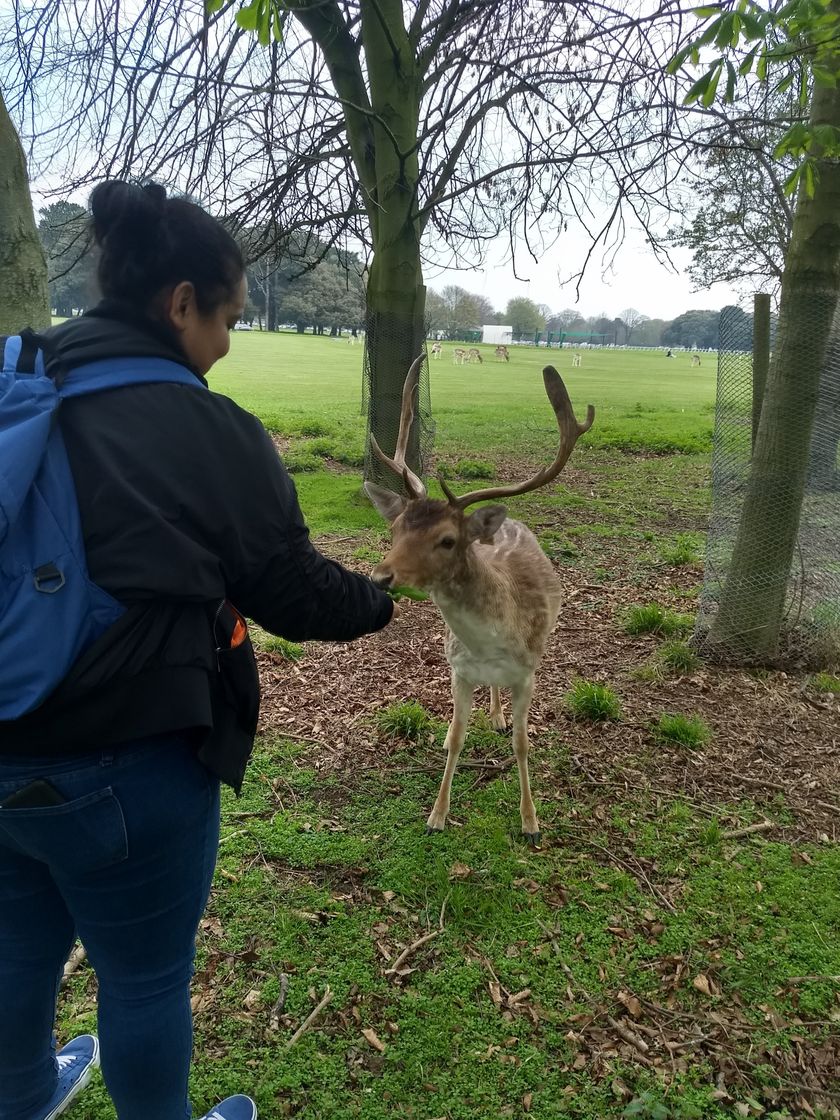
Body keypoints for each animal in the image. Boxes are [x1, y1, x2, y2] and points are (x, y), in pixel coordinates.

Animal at [365, 356, 595, 842]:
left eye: (447, 540)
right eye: (395, 529)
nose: (381, 576)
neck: (491, 644)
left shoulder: (528, 673)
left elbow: (524, 743)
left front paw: (531, 822)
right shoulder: (459, 670)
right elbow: (455, 737)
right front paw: (437, 815)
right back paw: (492, 713)